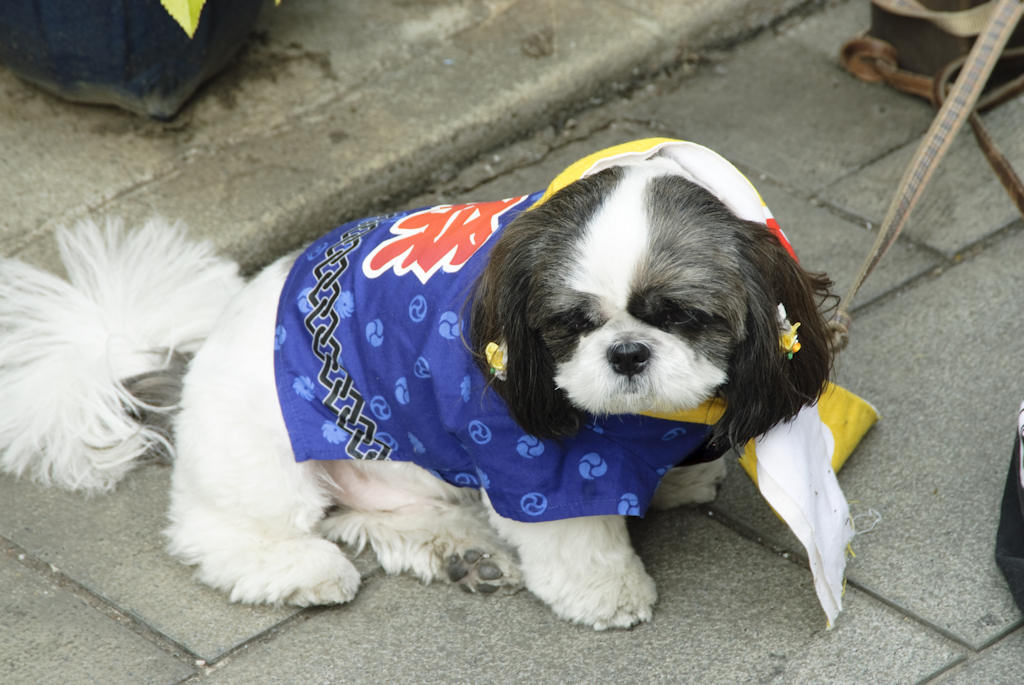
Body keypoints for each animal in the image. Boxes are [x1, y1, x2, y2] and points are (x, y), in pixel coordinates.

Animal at [0, 140, 831, 630]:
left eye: (683, 316)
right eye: (570, 323)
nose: (627, 352)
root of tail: (198, 353)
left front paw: (670, 480)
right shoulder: (531, 457)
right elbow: (572, 533)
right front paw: (608, 589)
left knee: (372, 516)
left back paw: (461, 551)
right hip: (262, 462)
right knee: (224, 533)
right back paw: (304, 569)